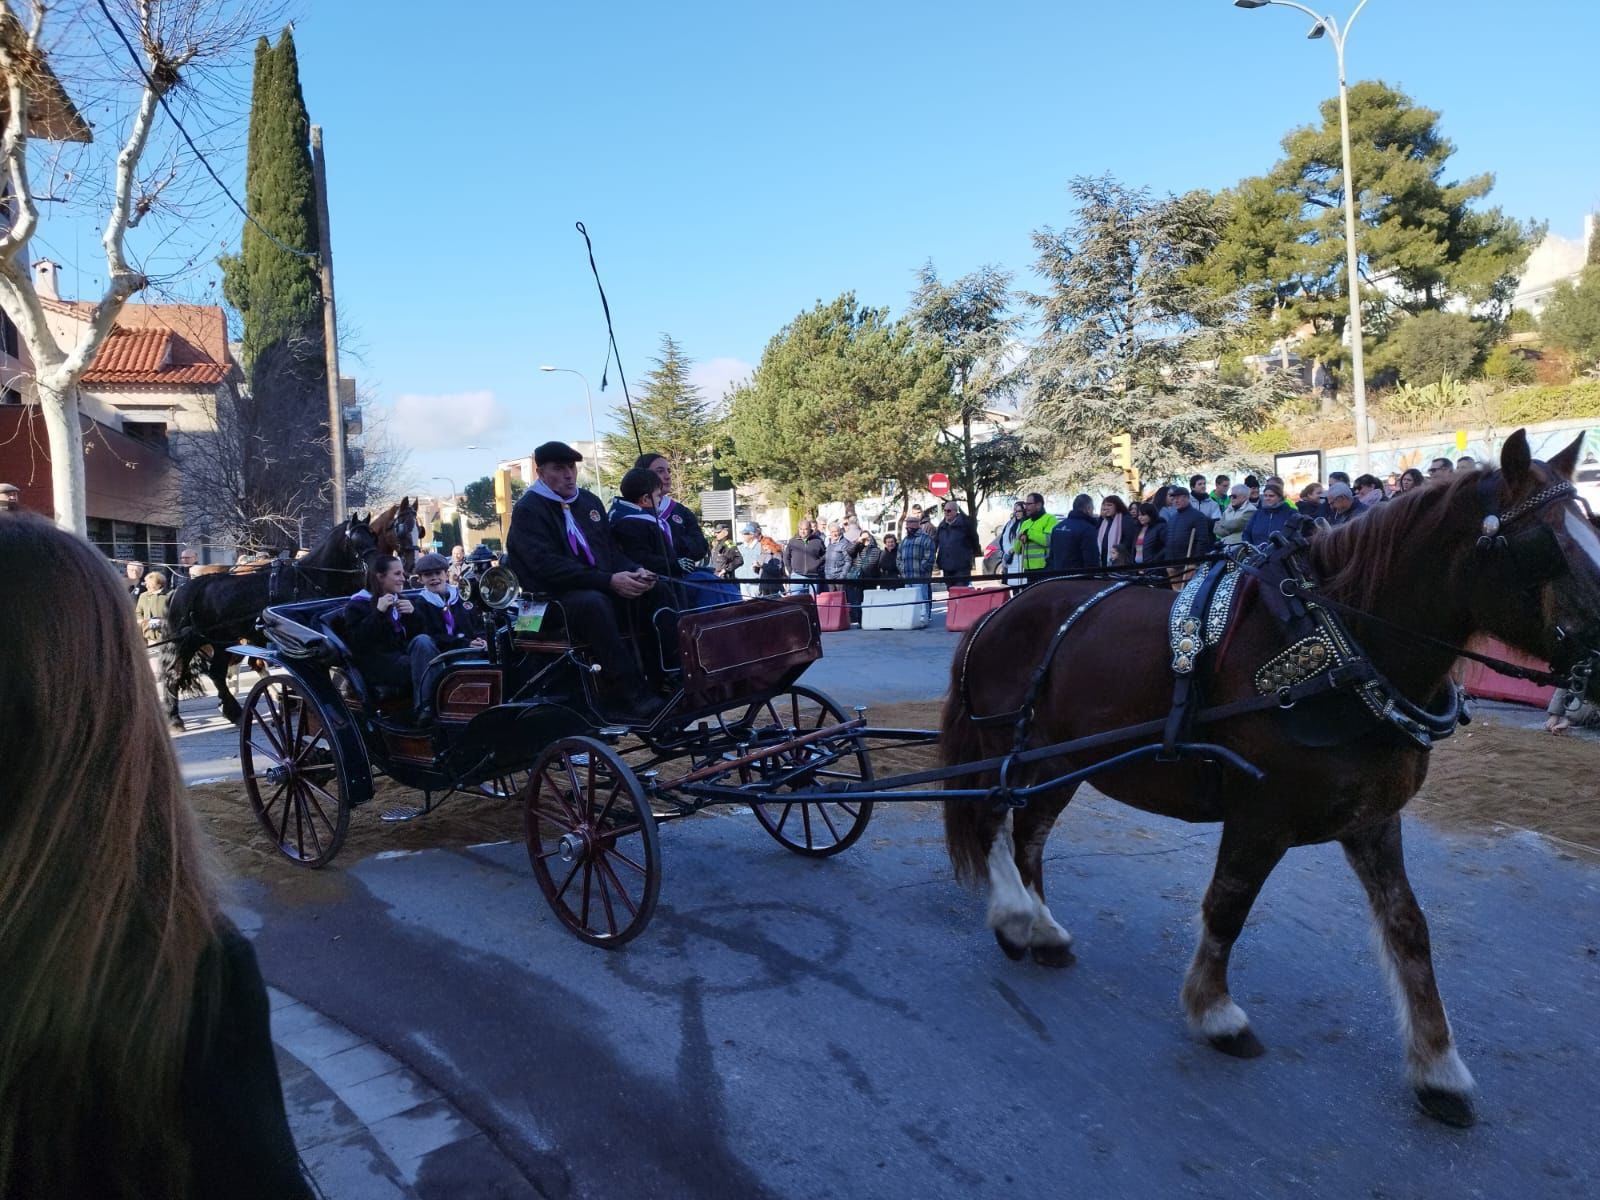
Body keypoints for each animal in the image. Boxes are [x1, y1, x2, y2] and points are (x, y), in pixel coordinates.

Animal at [160, 518, 387, 732]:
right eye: (355, 540)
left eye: (373, 536)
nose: (378, 565)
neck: (310, 577)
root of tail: (184, 588)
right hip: (187, 643)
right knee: (174, 675)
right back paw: (175, 719)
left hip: (221, 641)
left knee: (217, 673)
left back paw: (235, 712)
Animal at [934, 432, 1600, 1126]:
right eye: (1546, 545)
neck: (1340, 649)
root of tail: (997, 615)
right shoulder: (1260, 815)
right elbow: (1228, 907)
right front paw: (1215, 1013)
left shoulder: (1371, 819)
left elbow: (1409, 928)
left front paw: (1438, 1068)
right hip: (1013, 751)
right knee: (992, 821)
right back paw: (1016, 917)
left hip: (1059, 763)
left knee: (1029, 834)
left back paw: (1041, 930)